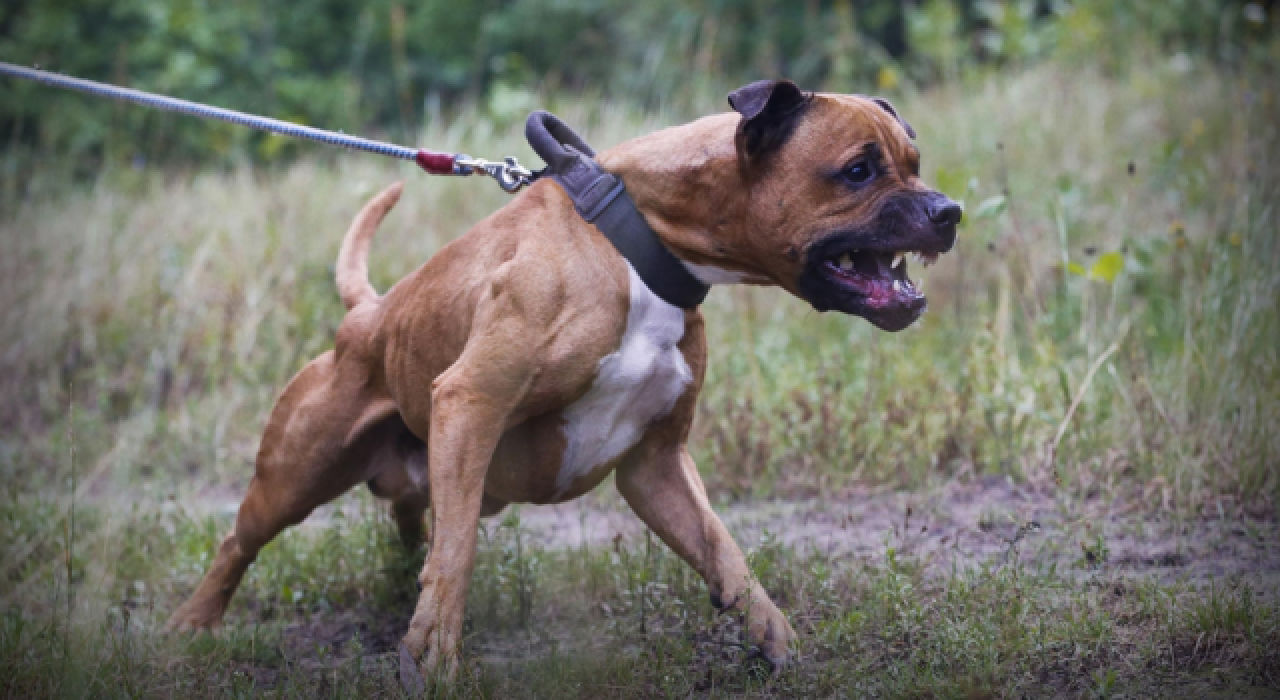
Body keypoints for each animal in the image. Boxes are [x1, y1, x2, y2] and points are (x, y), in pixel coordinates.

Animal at [162, 78, 962, 685]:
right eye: (858, 170)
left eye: (915, 161)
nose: (948, 211)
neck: (639, 241)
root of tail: (370, 313)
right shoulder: (472, 402)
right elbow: (457, 553)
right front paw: (433, 657)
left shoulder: (657, 464)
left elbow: (728, 554)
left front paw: (777, 641)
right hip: (294, 477)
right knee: (240, 543)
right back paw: (193, 624)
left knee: (408, 519)